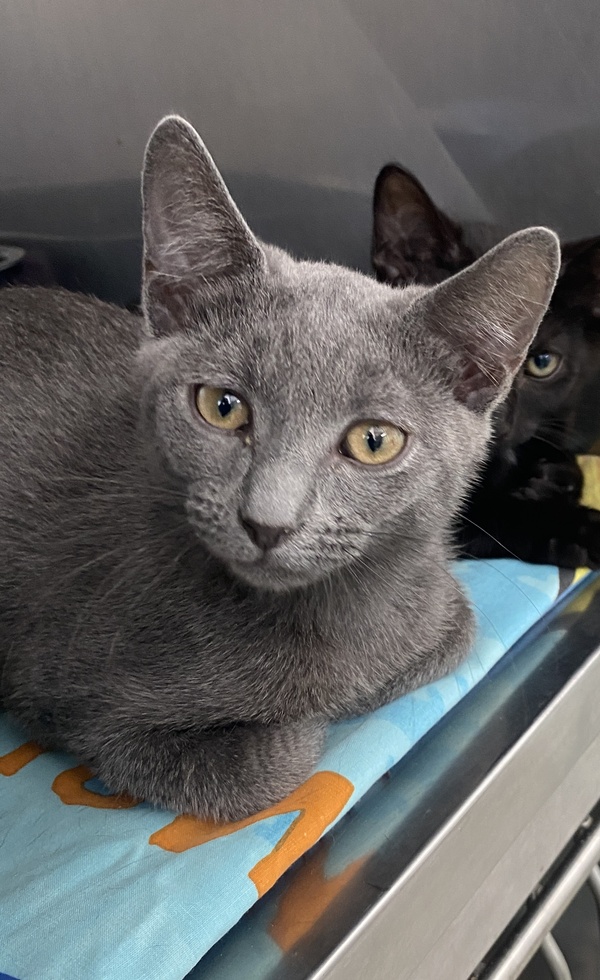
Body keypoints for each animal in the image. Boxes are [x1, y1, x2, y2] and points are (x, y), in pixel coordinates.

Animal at [0, 117, 559, 821]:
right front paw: (309, 719)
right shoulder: (81, 707)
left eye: (374, 441)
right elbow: (274, 765)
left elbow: (455, 629)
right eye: (222, 406)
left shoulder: (439, 598)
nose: (266, 522)